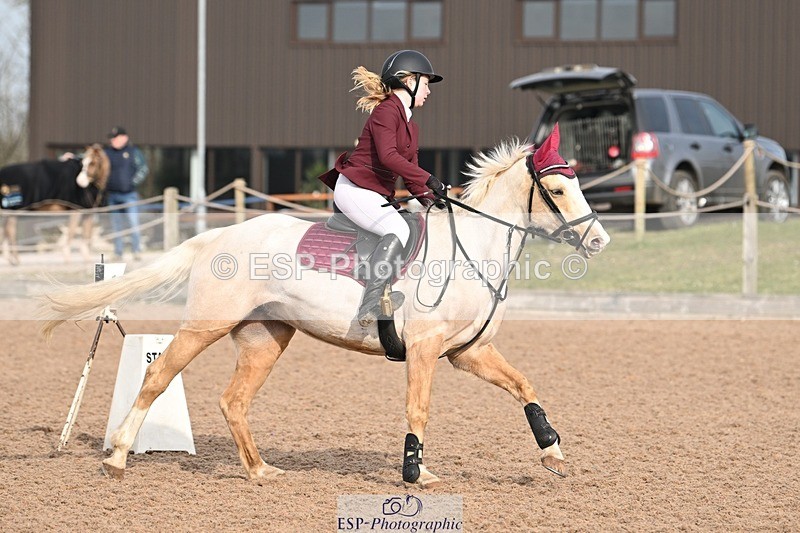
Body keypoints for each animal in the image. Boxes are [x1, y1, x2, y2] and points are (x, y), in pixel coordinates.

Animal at [39, 134, 610, 487]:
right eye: (557, 189)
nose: (599, 241)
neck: (471, 248)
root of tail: (217, 237)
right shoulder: (425, 351)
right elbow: (418, 409)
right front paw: (416, 473)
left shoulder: (467, 352)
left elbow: (524, 386)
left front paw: (553, 452)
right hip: (207, 325)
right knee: (158, 375)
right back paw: (116, 458)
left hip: (265, 338)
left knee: (234, 401)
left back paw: (261, 471)